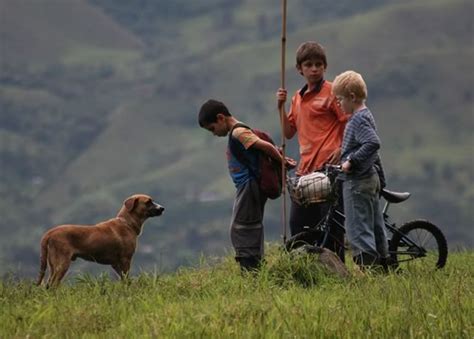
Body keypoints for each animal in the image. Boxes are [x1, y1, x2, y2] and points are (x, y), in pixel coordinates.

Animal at [36, 195, 165, 288]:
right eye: (148, 202)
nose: (162, 208)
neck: (127, 223)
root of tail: (49, 233)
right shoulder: (126, 259)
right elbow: (126, 278)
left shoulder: (115, 264)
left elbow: (123, 280)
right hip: (62, 263)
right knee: (52, 284)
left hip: (53, 265)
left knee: (48, 285)